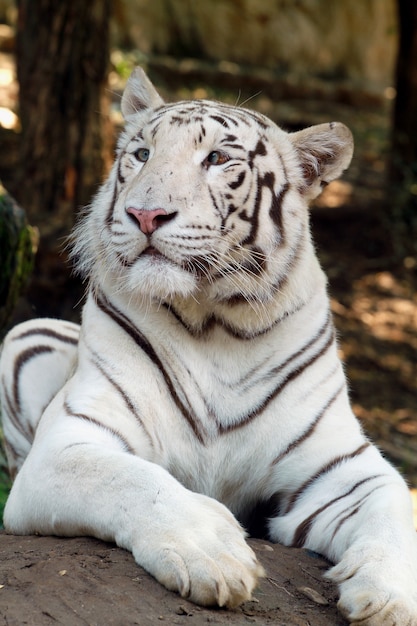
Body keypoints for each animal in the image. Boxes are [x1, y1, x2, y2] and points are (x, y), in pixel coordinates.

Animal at [0, 66, 416, 620]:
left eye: (217, 159)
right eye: (142, 154)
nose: (145, 214)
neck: (218, 322)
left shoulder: (343, 467)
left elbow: (394, 508)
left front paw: (390, 597)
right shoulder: (67, 444)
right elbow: (135, 479)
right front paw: (213, 553)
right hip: (23, 338)